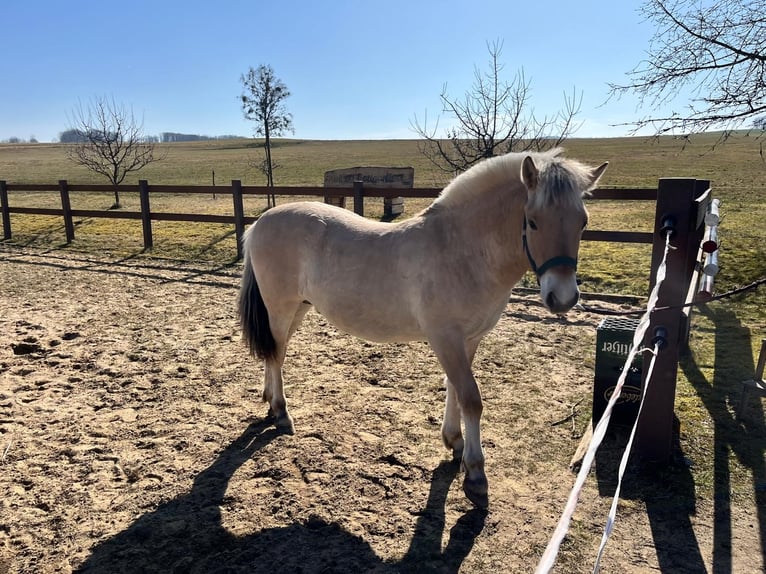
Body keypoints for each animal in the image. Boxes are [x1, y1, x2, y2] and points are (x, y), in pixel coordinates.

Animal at [237, 148, 608, 508]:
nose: (563, 298)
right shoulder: (446, 338)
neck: (463, 250)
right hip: (280, 307)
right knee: (277, 354)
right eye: (532, 221)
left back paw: (269, 400)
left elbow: (455, 389)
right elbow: (471, 398)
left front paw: (454, 442)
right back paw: (281, 412)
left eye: (583, 222)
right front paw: (475, 475)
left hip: (298, 308)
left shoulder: (468, 340)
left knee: (276, 353)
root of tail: (261, 223)